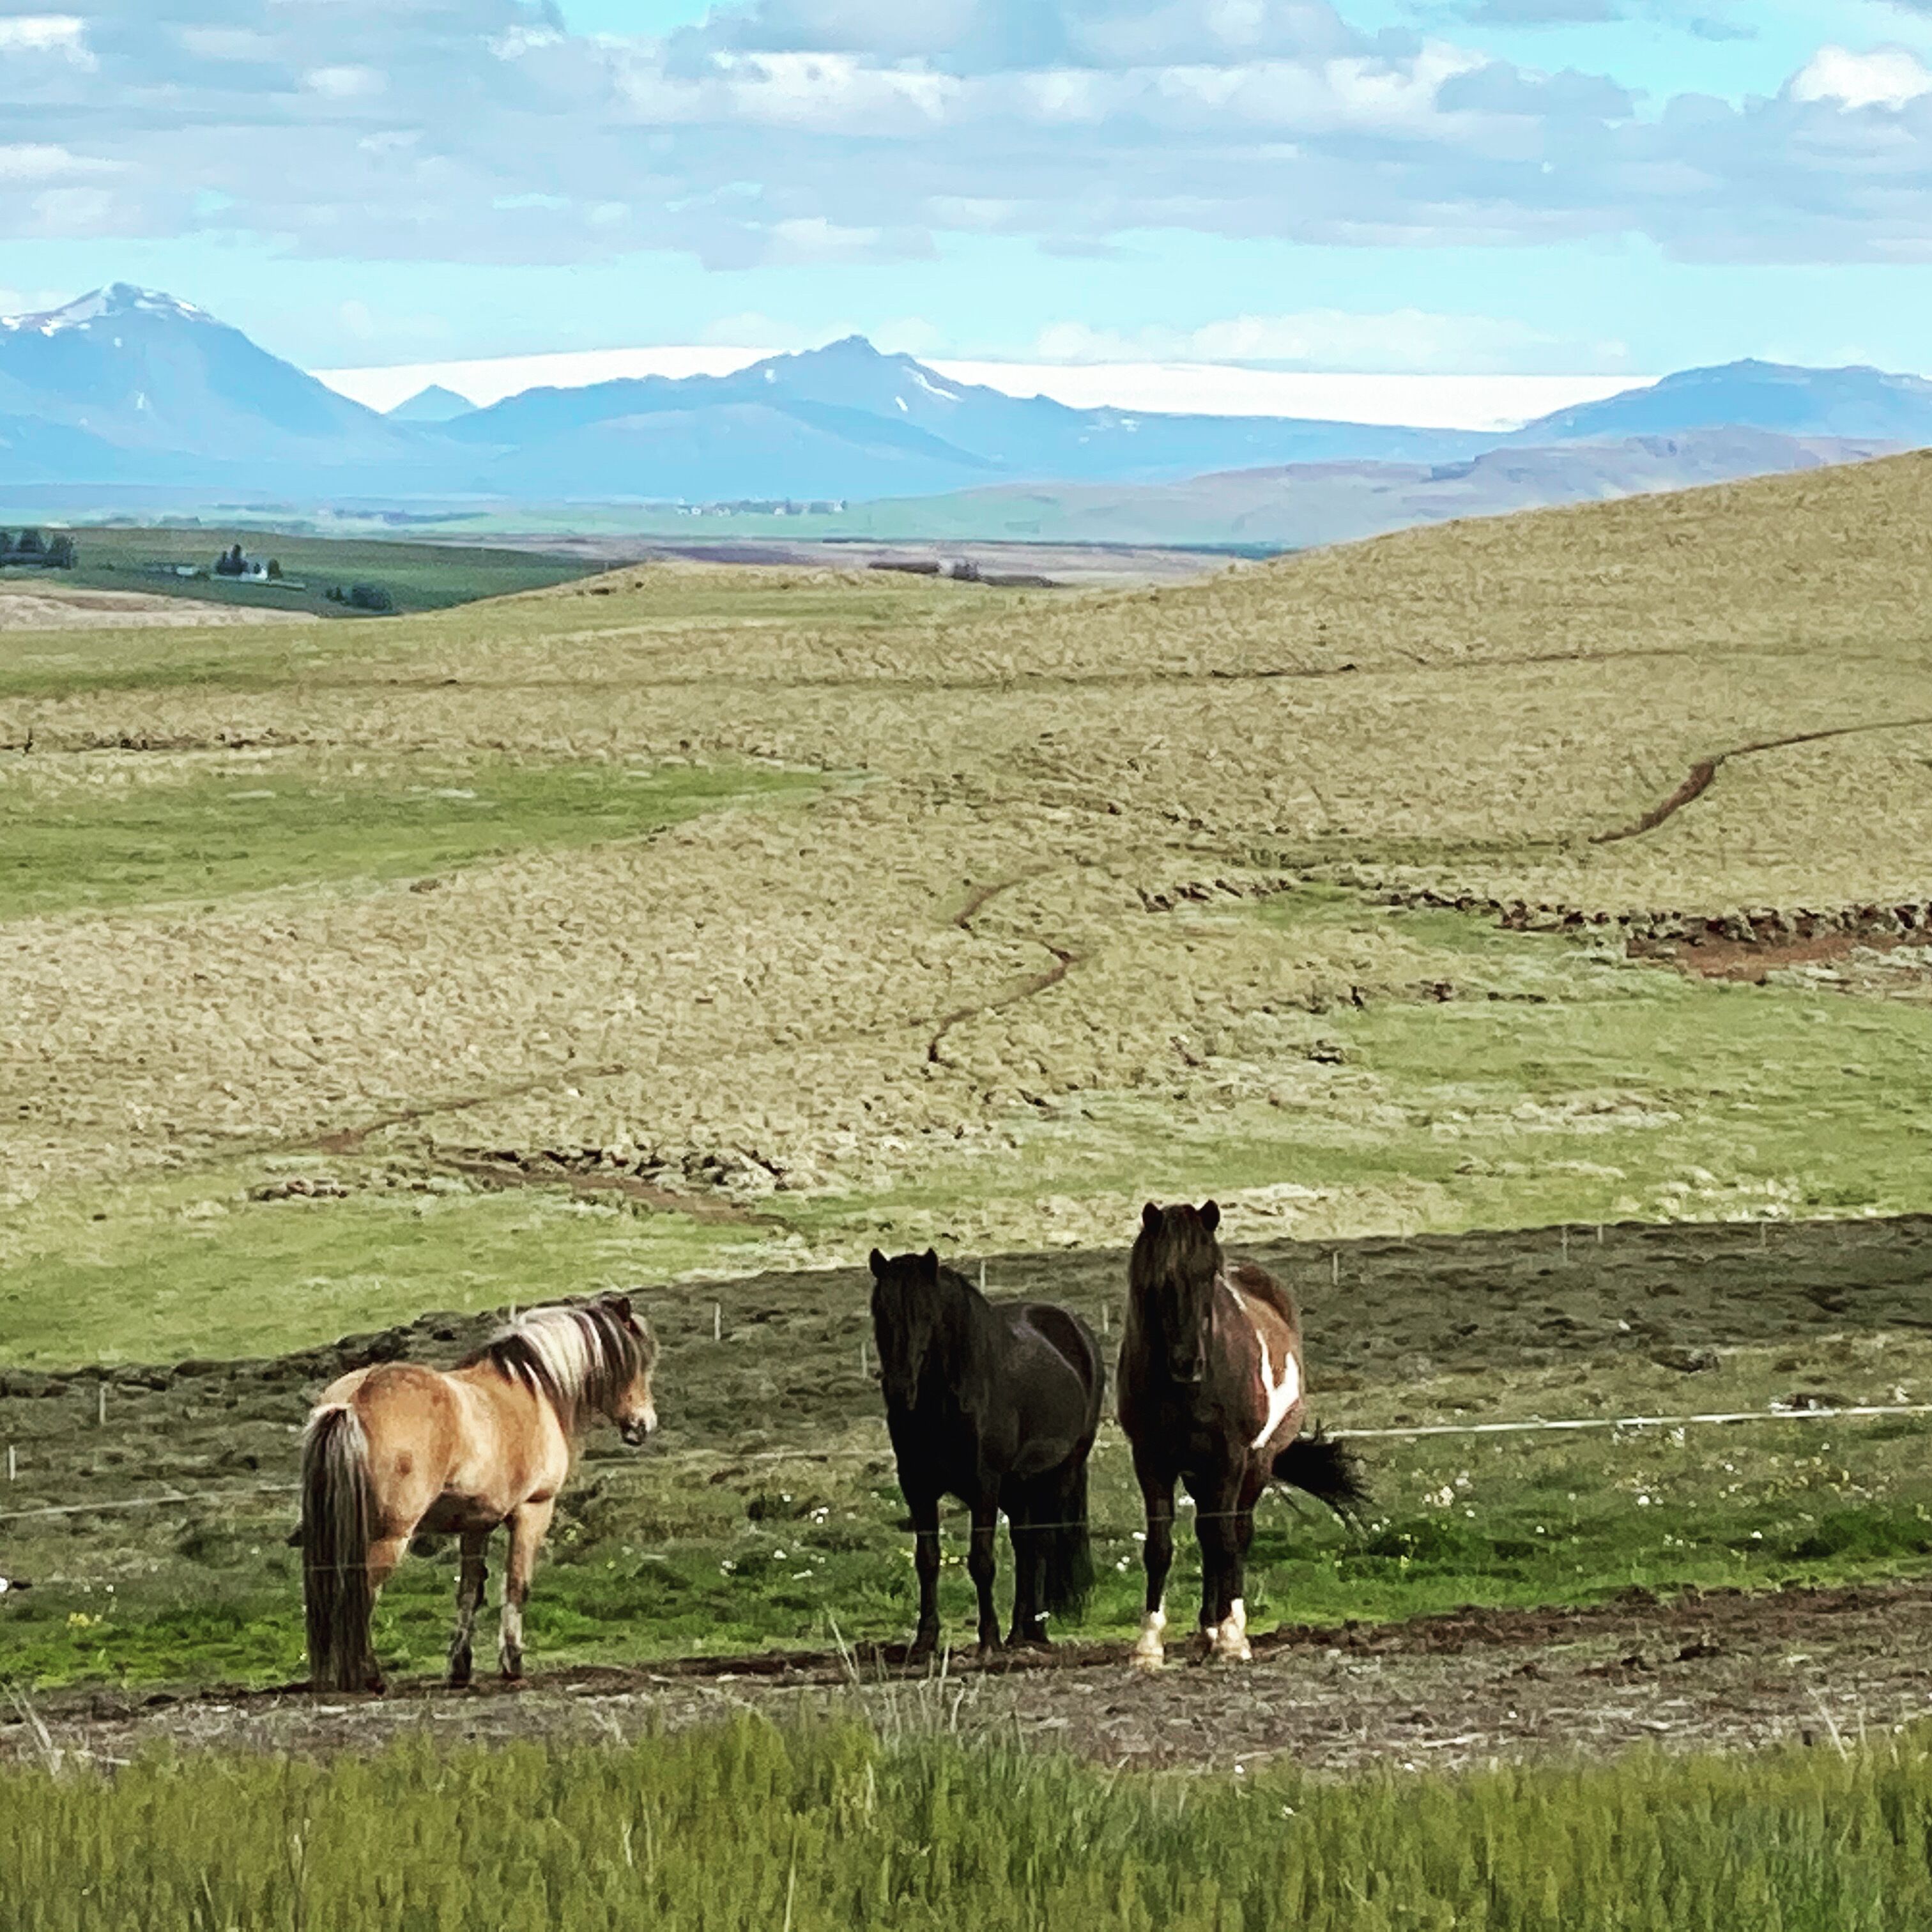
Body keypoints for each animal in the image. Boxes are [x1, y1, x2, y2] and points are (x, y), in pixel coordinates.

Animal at [300, 1293, 657, 1693]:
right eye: (638, 1361)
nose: (644, 1425)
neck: (533, 1389)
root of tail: (353, 1401)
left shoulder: (475, 1525)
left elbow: (470, 1592)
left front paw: (460, 1666)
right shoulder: (533, 1510)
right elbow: (517, 1585)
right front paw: (512, 1662)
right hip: (388, 1536)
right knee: (363, 1595)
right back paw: (371, 1675)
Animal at [869, 1248, 1105, 1660]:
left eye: (926, 1314)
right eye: (880, 1312)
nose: (899, 1390)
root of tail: (1077, 1330)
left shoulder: (984, 1486)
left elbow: (982, 1561)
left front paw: (988, 1639)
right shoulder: (917, 1486)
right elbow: (927, 1561)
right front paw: (925, 1641)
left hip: (1059, 1474)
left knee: (1041, 1545)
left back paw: (1034, 1632)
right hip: (1018, 1489)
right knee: (1026, 1548)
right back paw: (1019, 1632)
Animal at [1118, 1201, 1365, 1668]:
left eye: (1207, 1277)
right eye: (1160, 1280)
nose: (1188, 1363)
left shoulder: (1230, 1457)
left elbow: (1226, 1541)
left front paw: (1233, 1640)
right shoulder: (1151, 1460)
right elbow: (1160, 1547)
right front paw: (1149, 1645)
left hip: (1255, 1464)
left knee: (1235, 1534)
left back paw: (1225, 1629)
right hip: (1199, 1473)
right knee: (1208, 1533)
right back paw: (1207, 1630)